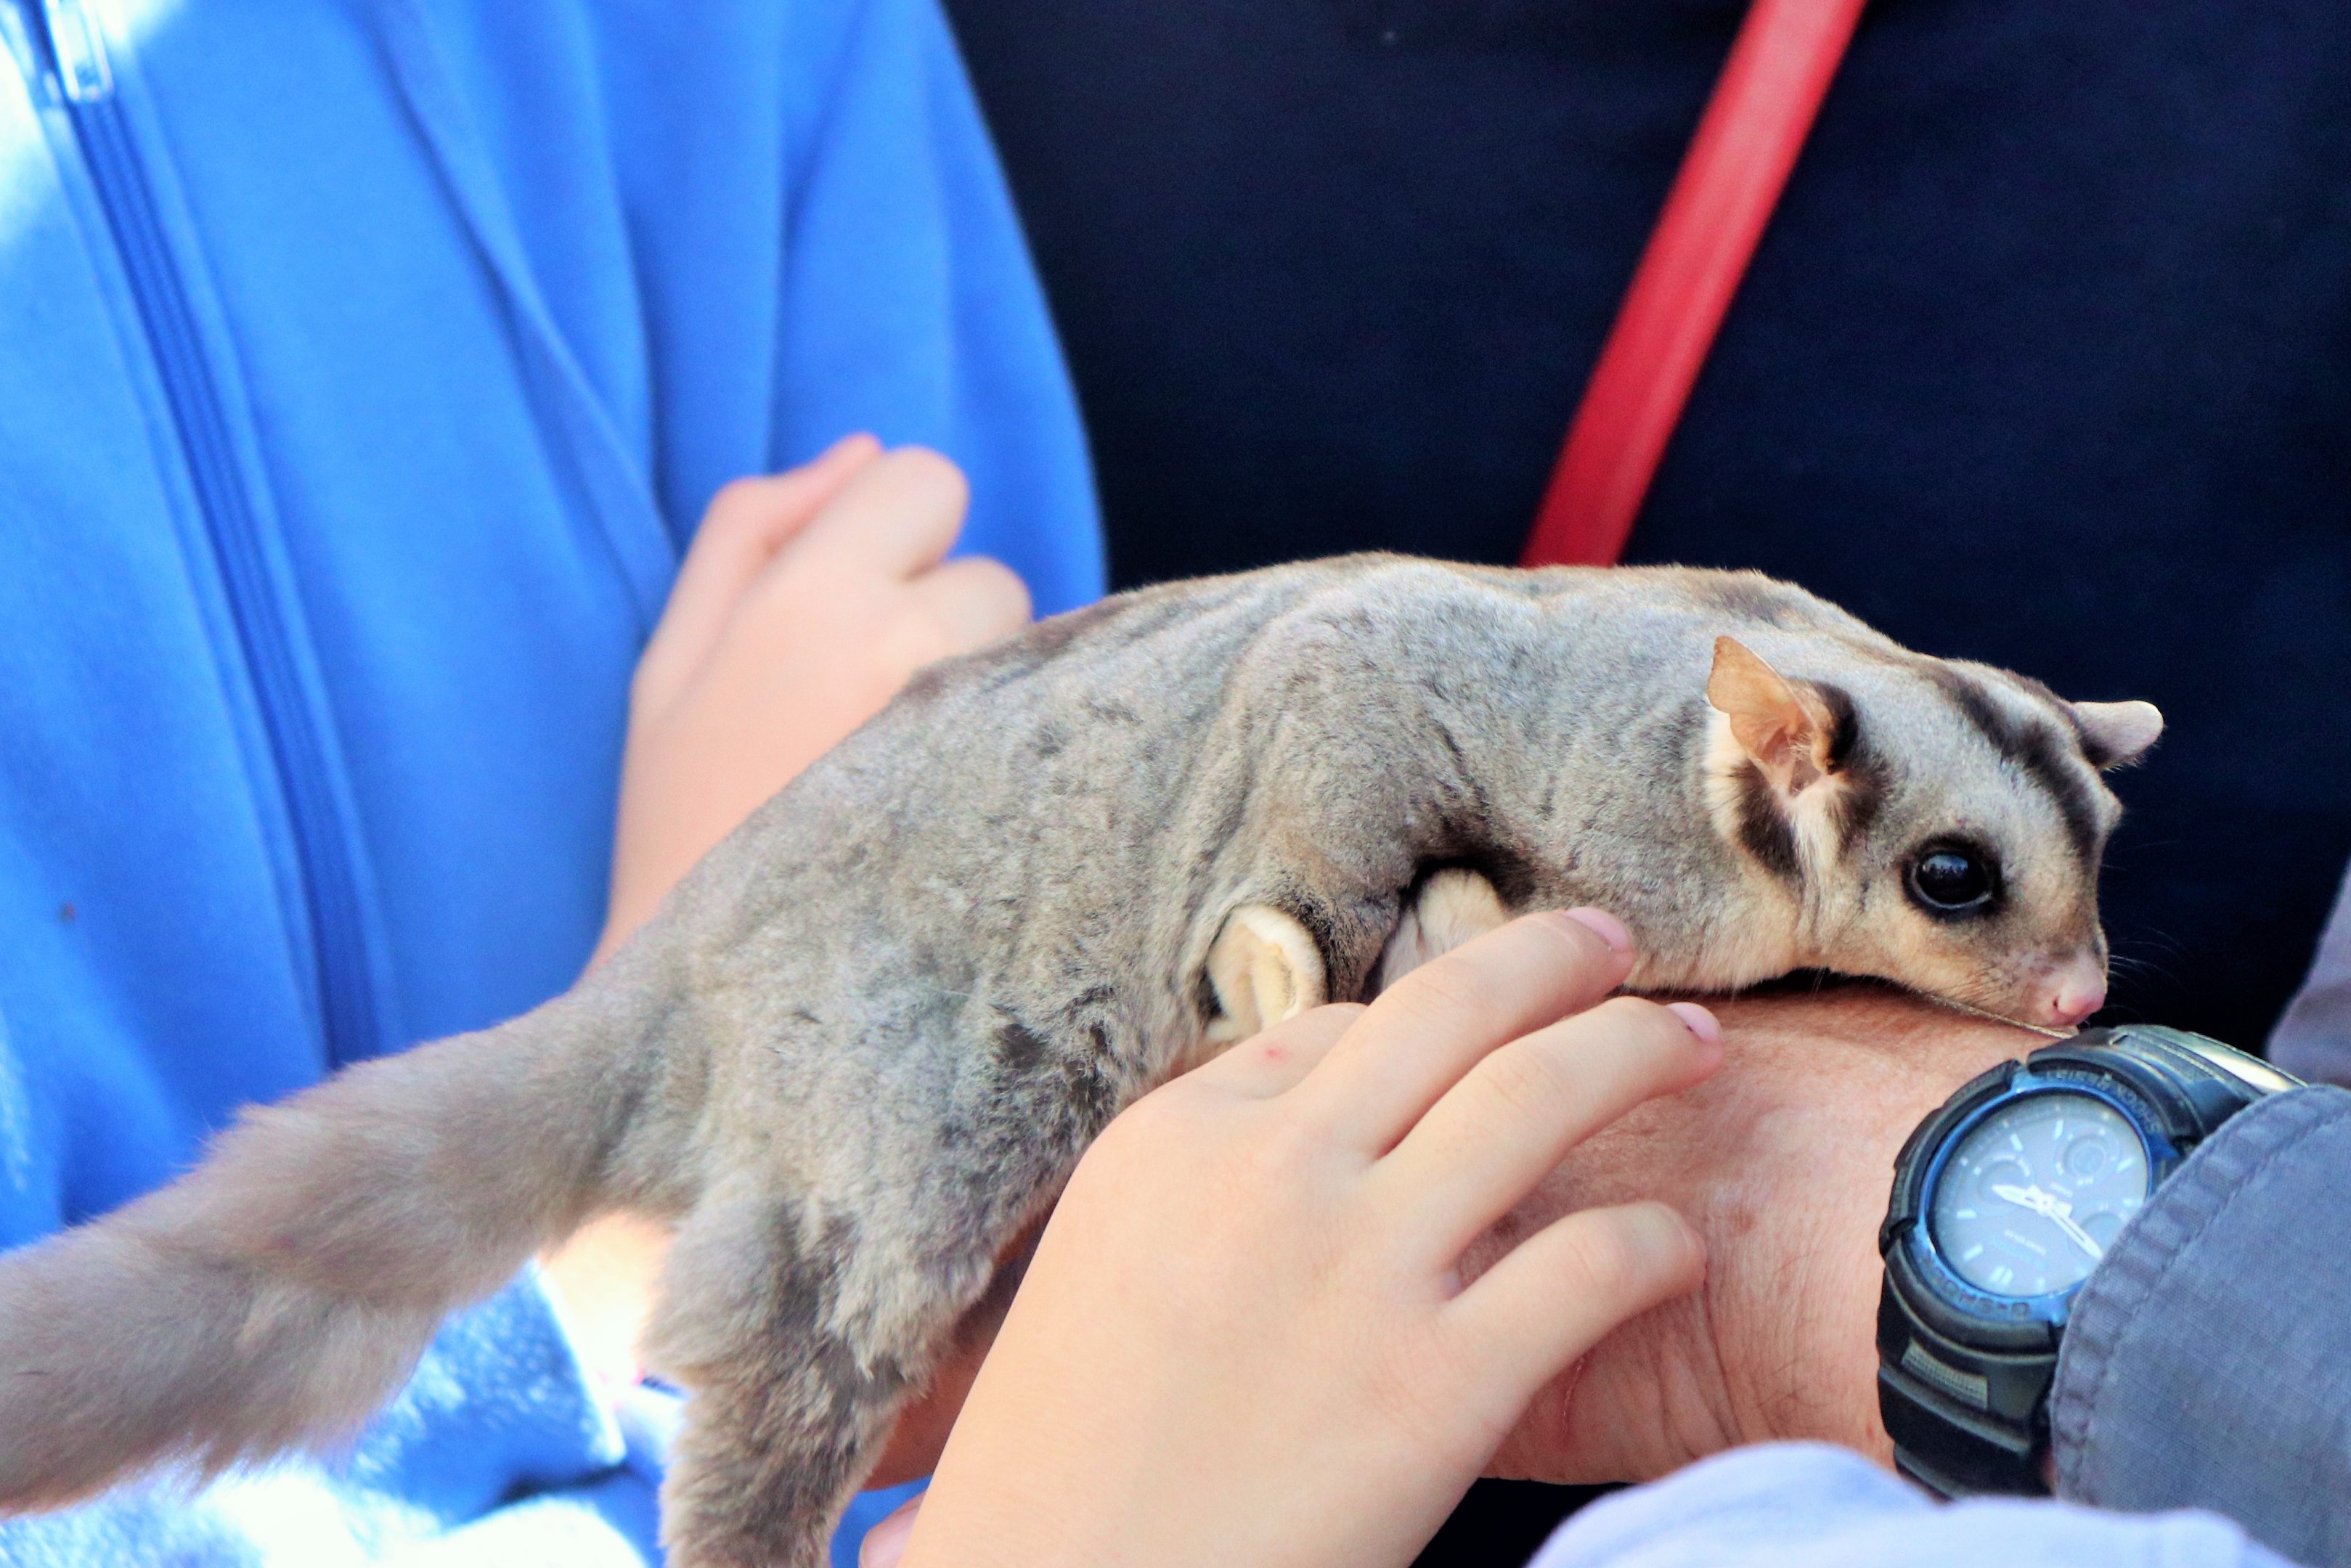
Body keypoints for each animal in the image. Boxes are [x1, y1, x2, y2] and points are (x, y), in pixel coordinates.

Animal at [0, 556, 2161, 1567]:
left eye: (2095, 860)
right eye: (1954, 878)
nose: (2076, 1001)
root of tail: (681, 963)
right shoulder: (1406, 715)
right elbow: (1329, 766)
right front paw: (1301, 966)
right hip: (885, 1104)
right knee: (815, 1324)